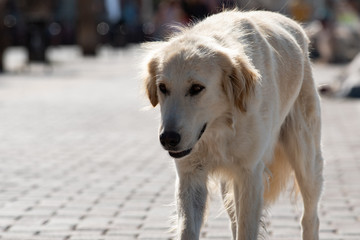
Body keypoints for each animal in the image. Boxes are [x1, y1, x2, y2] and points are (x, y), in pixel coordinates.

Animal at [143, 9, 324, 240]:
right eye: (163, 87)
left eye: (196, 88)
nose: (168, 139)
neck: (219, 129)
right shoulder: (190, 175)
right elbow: (188, 229)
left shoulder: (249, 174)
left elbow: (246, 229)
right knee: (234, 222)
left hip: (306, 160)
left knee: (310, 218)